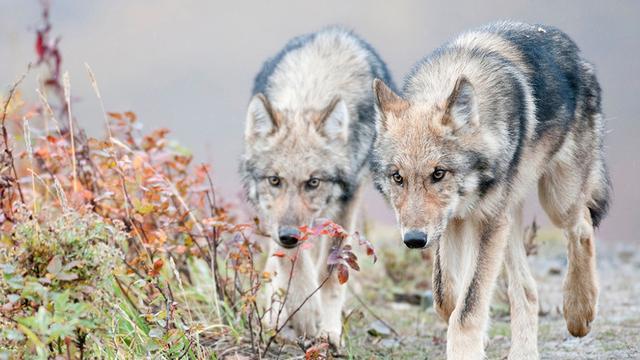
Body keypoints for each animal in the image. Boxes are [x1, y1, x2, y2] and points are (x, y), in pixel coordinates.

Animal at [239, 26, 392, 346]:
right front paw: (305, 315)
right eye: (275, 180)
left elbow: (330, 273)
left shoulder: (347, 202)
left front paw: (329, 330)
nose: (289, 236)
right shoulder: (275, 215)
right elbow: (290, 264)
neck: (310, 89)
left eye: (313, 182)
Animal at [370, 21, 608, 358]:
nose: (414, 240)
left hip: (556, 201)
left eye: (438, 174)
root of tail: (576, 53)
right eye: (397, 177)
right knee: (527, 290)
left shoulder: (485, 221)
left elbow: (466, 309)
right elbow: (446, 297)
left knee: (582, 227)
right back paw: (524, 352)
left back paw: (579, 311)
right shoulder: (454, 221)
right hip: (507, 218)